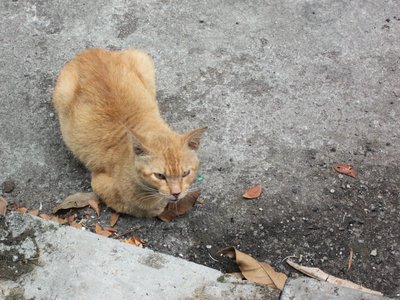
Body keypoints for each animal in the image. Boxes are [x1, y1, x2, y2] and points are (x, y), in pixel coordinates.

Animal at [52, 48, 206, 217]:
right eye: (160, 176)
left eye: (185, 173)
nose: (176, 193)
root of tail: (89, 51)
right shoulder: (100, 184)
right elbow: (143, 208)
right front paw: (159, 205)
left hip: (143, 60)